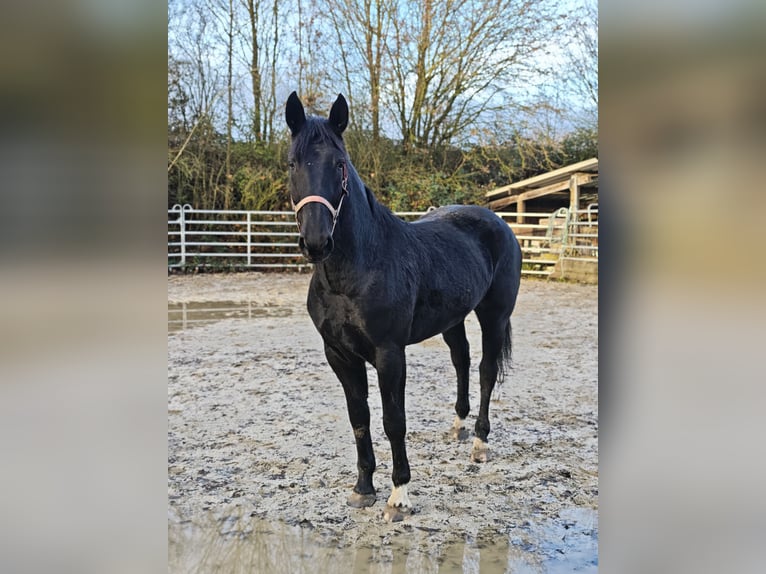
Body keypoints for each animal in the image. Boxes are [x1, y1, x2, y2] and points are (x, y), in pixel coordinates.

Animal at [284, 92, 521, 518]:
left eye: (339, 164)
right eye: (293, 163)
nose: (316, 241)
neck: (356, 270)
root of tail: (498, 222)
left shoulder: (389, 353)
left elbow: (394, 420)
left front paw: (399, 495)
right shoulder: (339, 354)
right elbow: (359, 418)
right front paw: (363, 488)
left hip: (494, 315)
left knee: (485, 370)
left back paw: (480, 443)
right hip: (453, 319)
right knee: (461, 360)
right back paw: (458, 427)